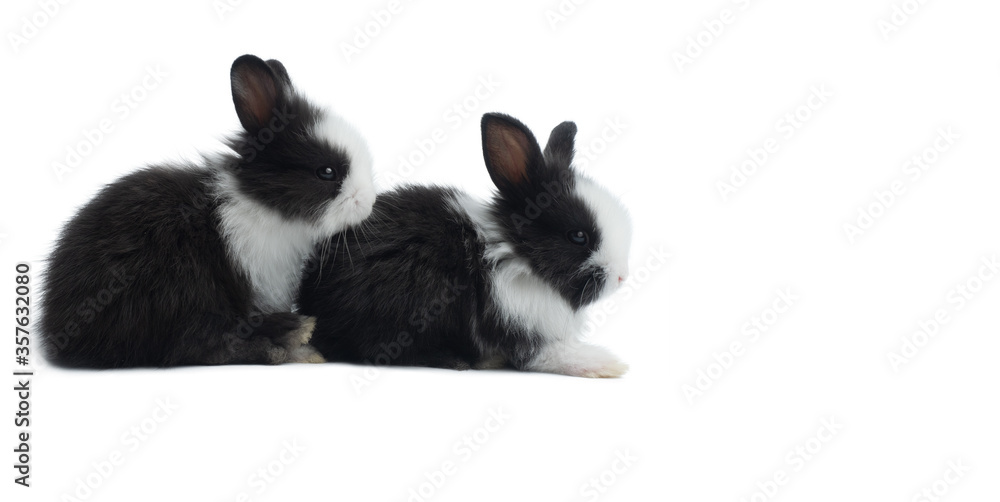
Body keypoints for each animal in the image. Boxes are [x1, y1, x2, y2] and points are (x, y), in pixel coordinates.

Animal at [297, 113, 632, 377]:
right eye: (578, 236)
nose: (621, 277)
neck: (517, 256)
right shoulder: (514, 321)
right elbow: (547, 354)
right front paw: (607, 364)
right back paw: (458, 360)